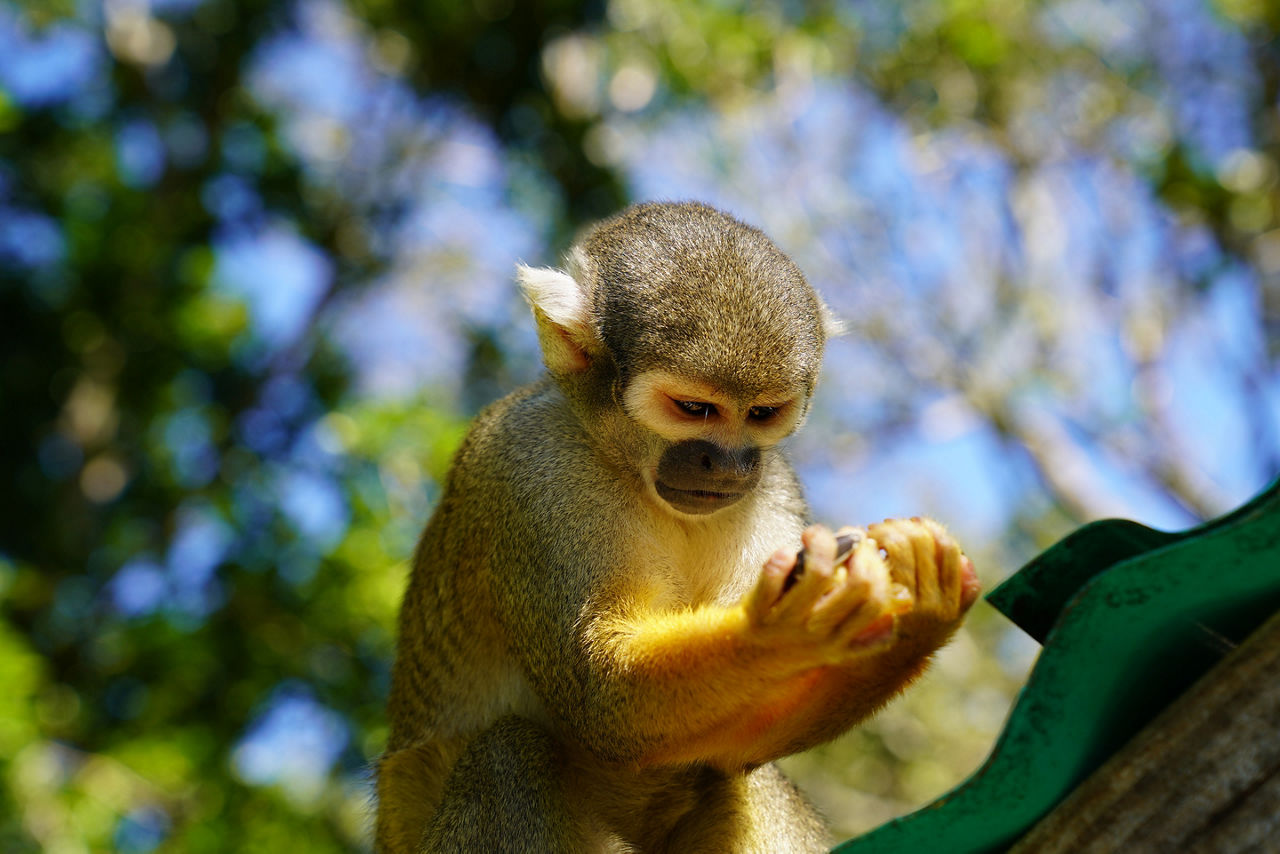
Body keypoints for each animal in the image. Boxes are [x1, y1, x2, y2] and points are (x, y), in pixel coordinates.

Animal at [375, 201, 980, 853]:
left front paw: (920, 609)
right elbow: (606, 701)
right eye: (695, 409)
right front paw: (780, 630)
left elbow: (738, 746)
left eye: (762, 413)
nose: (729, 463)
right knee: (507, 753)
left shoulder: (773, 487)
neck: (628, 465)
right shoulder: (534, 468)